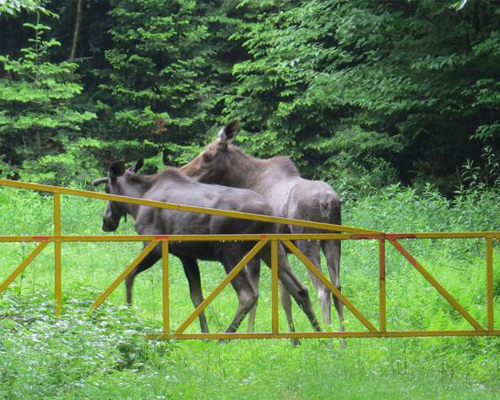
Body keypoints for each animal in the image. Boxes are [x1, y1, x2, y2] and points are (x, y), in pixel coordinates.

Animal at [93, 159, 320, 334]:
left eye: (106, 189)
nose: (106, 221)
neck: (136, 203)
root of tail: (266, 212)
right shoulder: (186, 255)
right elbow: (197, 296)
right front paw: (204, 333)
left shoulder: (154, 246)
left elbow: (129, 276)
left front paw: (129, 314)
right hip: (270, 249)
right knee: (300, 289)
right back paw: (316, 338)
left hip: (230, 252)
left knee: (248, 295)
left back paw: (225, 337)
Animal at [182, 120, 346, 332]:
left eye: (208, 155)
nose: (183, 173)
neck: (243, 181)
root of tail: (326, 201)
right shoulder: (282, 250)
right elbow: (286, 298)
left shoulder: (255, 250)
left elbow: (257, 293)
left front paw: (250, 332)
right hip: (333, 240)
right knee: (337, 287)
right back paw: (342, 338)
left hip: (308, 242)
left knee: (323, 289)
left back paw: (329, 335)